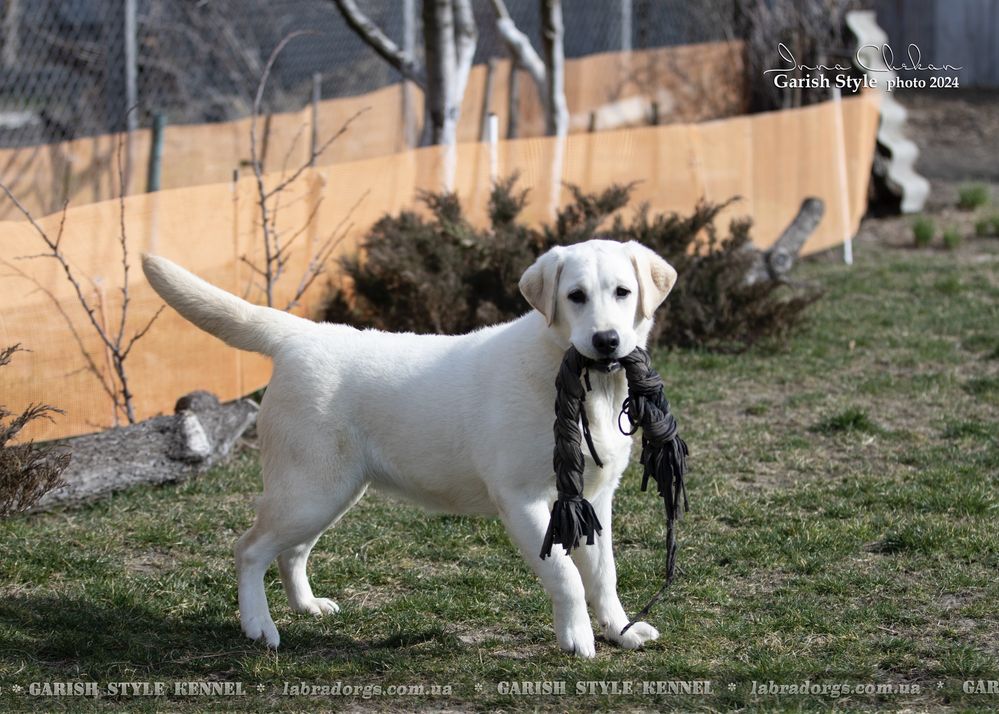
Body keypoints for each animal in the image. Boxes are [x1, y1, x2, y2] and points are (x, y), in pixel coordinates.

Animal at [143, 239, 680, 656]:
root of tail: (303, 333)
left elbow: (604, 575)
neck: (585, 387)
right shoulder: (523, 500)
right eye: (575, 296)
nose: (606, 340)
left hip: (329, 492)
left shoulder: (594, 499)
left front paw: (621, 630)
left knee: (290, 552)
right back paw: (259, 626)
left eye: (623, 292)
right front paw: (578, 639)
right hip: (310, 491)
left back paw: (307, 606)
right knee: (249, 549)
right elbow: (566, 575)